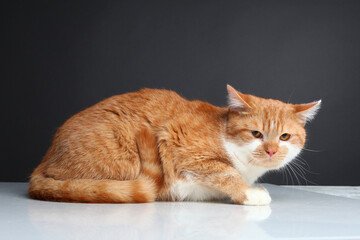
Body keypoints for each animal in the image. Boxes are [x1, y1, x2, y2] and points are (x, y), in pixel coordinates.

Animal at [28, 85, 320, 205]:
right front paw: (249, 193)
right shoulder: (180, 144)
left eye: (284, 137)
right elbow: (225, 173)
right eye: (256, 133)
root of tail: (42, 163)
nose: (271, 150)